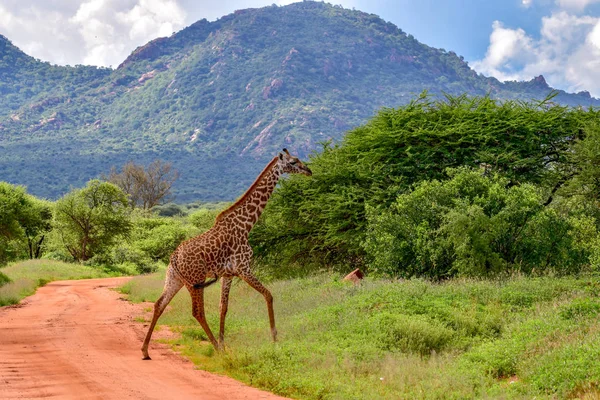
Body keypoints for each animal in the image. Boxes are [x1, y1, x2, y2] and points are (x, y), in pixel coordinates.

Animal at [140, 148, 310, 360]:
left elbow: (223, 307)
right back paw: (215, 348)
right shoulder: (244, 269)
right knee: (198, 312)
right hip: (194, 280)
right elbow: (269, 295)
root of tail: (174, 257)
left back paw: (145, 350)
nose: (309, 170)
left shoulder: (228, 274)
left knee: (159, 304)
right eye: (293, 162)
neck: (246, 225)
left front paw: (224, 342)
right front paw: (274, 339)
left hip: (175, 279)